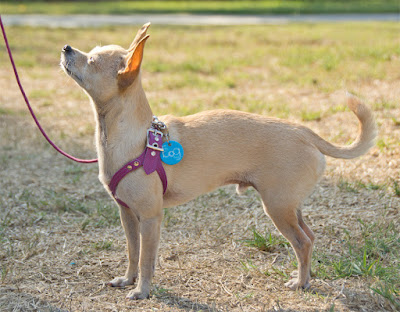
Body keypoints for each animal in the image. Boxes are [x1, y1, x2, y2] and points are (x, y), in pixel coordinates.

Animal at [60, 23, 376, 300]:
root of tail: (304, 131)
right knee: (309, 236)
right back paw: (306, 278)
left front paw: (142, 290)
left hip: (277, 207)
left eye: (91, 60)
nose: (65, 47)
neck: (131, 137)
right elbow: (132, 252)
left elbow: (147, 259)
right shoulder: (127, 215)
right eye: (90, 52)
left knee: (302, 242)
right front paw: (128, 279)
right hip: (289, 206)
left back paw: (300, 282)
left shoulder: (150, 218)